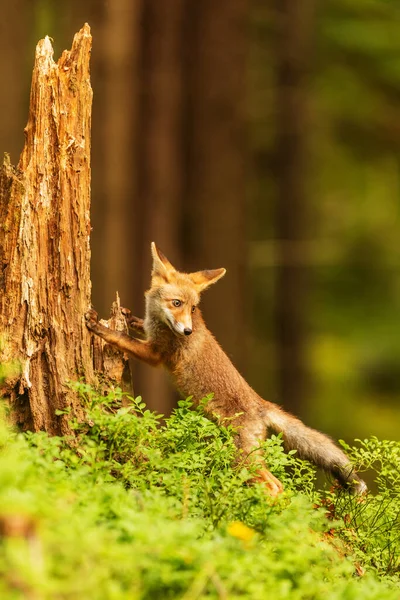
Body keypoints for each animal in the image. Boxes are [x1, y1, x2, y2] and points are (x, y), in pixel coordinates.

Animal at [86, 241, 368, 494]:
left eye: (193, 307)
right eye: (177, 303)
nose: (187, 331)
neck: (160, 324)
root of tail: (261, 404)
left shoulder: (156, 354)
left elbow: (122, 339)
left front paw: (99, 328)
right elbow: (137, 326)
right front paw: (128, 315)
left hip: (243, 457)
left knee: (275, 486)